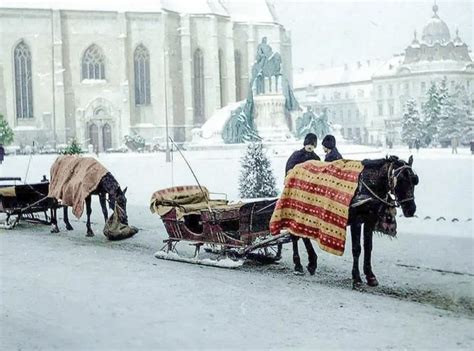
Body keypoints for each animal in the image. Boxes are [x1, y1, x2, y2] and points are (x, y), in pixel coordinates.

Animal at [290, 155, 416, 288]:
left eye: (414, 181)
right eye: (401, 180)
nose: (411, 209)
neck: (367, 185)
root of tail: (294, 168)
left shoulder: (369, 220)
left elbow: (368, 247)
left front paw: (370, 276)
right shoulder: (357, 221)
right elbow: (357, 248)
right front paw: (356, 278)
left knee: (302, 235)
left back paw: (312, 262)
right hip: (296, 208)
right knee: (294, 235)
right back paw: (298, 265)